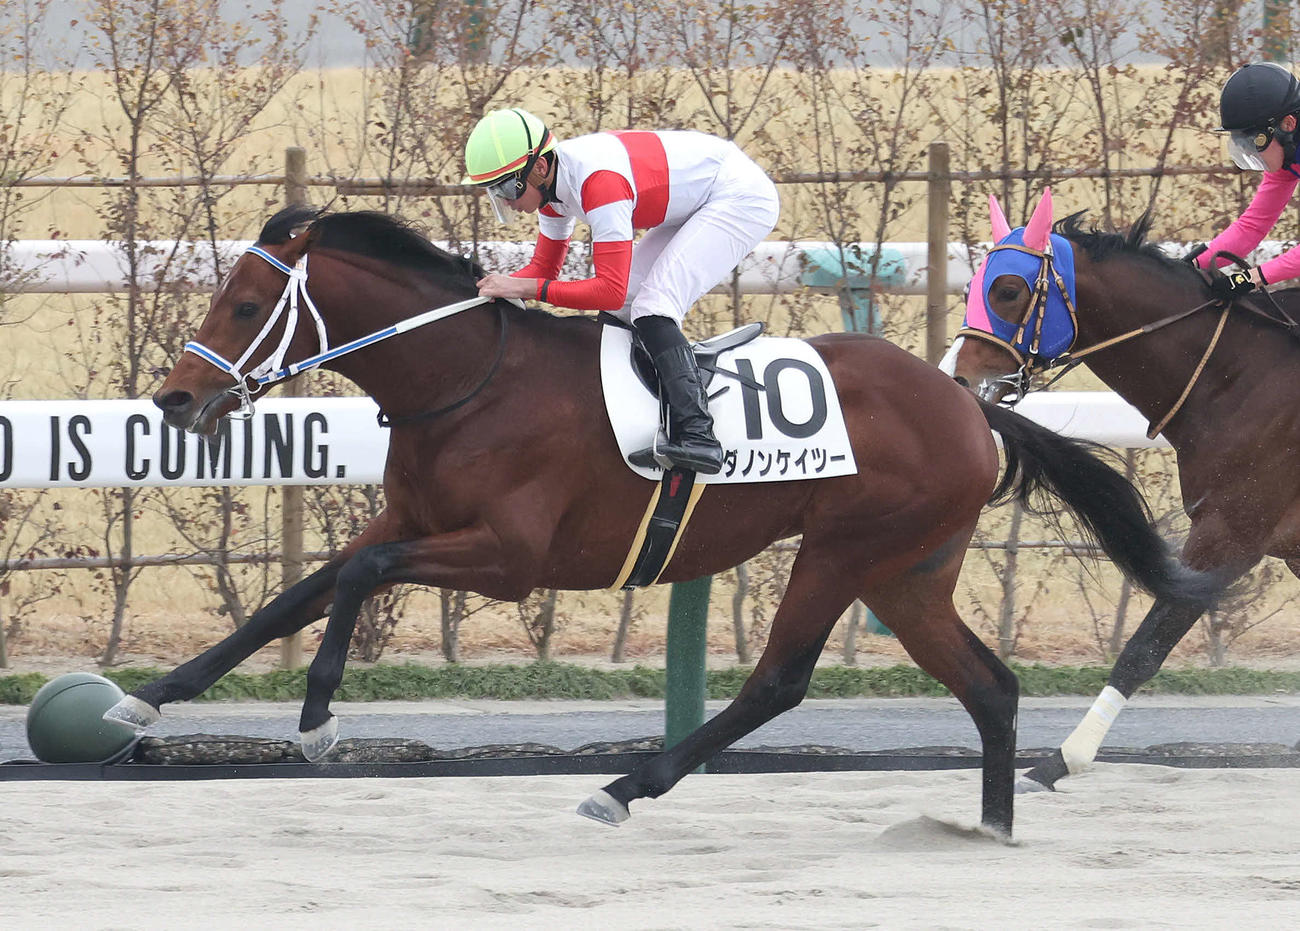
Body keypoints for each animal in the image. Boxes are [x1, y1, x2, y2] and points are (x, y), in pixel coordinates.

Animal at [103, 204, 1213, 838]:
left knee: (779, 680)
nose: (174, 401)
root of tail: (970, 405)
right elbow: (301, 591)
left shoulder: (508, 557)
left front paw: (319, 721)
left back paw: (627, 783)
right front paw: (144, 699)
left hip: (844, 547)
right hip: (909, 570)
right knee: (989, 686)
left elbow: (353, 581)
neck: (468, 381)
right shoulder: (408, 519)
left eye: (247, 305)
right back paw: (990, 829)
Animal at [943, 188, 1289, 792]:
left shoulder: (1232, 532)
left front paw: (1061, 759)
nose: (958, 380)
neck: (1236, 376)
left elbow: (1145, 647)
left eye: (1006, 291)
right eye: (970, 289)